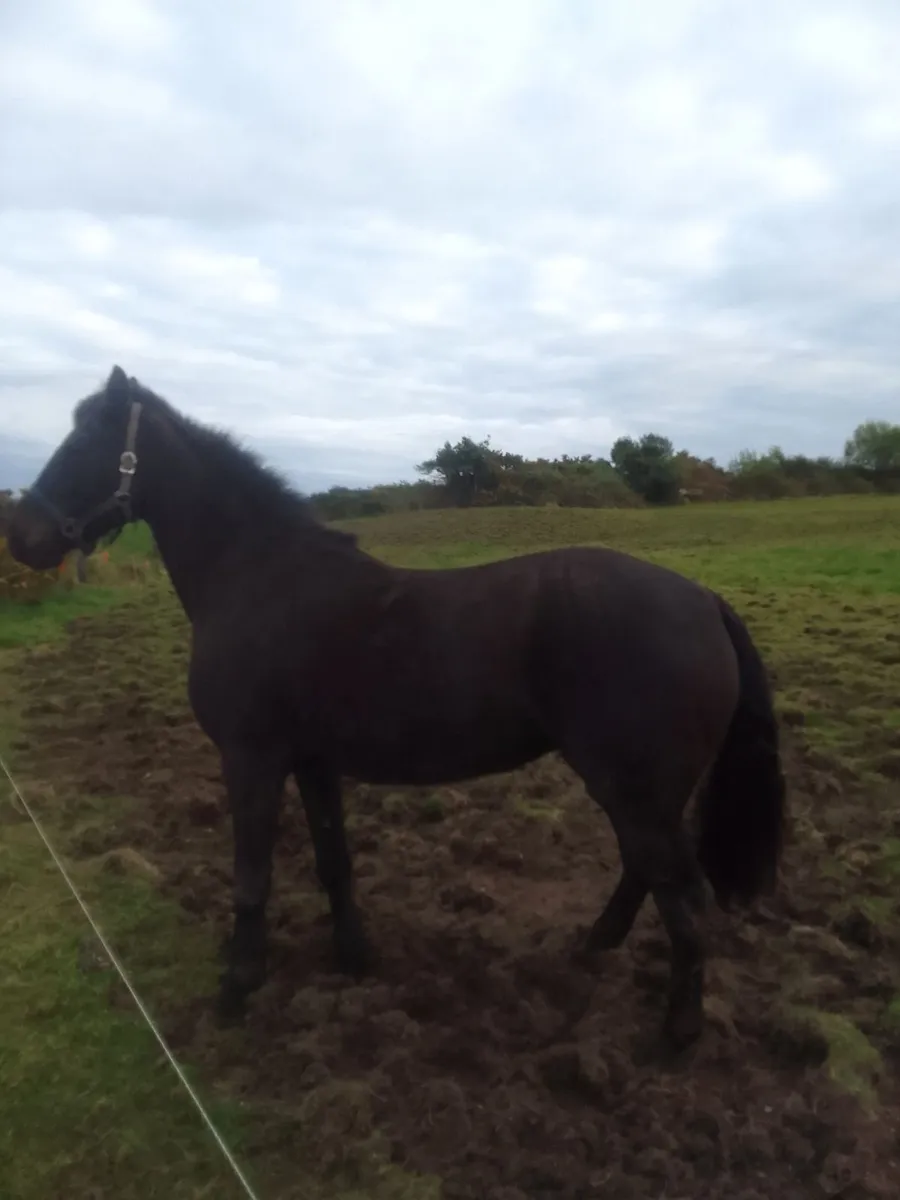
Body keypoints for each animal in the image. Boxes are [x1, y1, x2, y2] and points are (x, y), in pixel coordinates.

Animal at [8, 366, 786, 1052]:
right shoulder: (312, 761)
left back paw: (677, 1033)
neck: (259, 579)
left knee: (684, 900)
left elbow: (252, 878)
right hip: (638, 793)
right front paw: (354, 958)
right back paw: (594, 949)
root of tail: (703, 600)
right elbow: (334, 861)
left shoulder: (251, 760)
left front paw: (236, 989)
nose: (20, 537)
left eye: (86, 440)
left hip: (637, 791)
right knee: (645, 873)